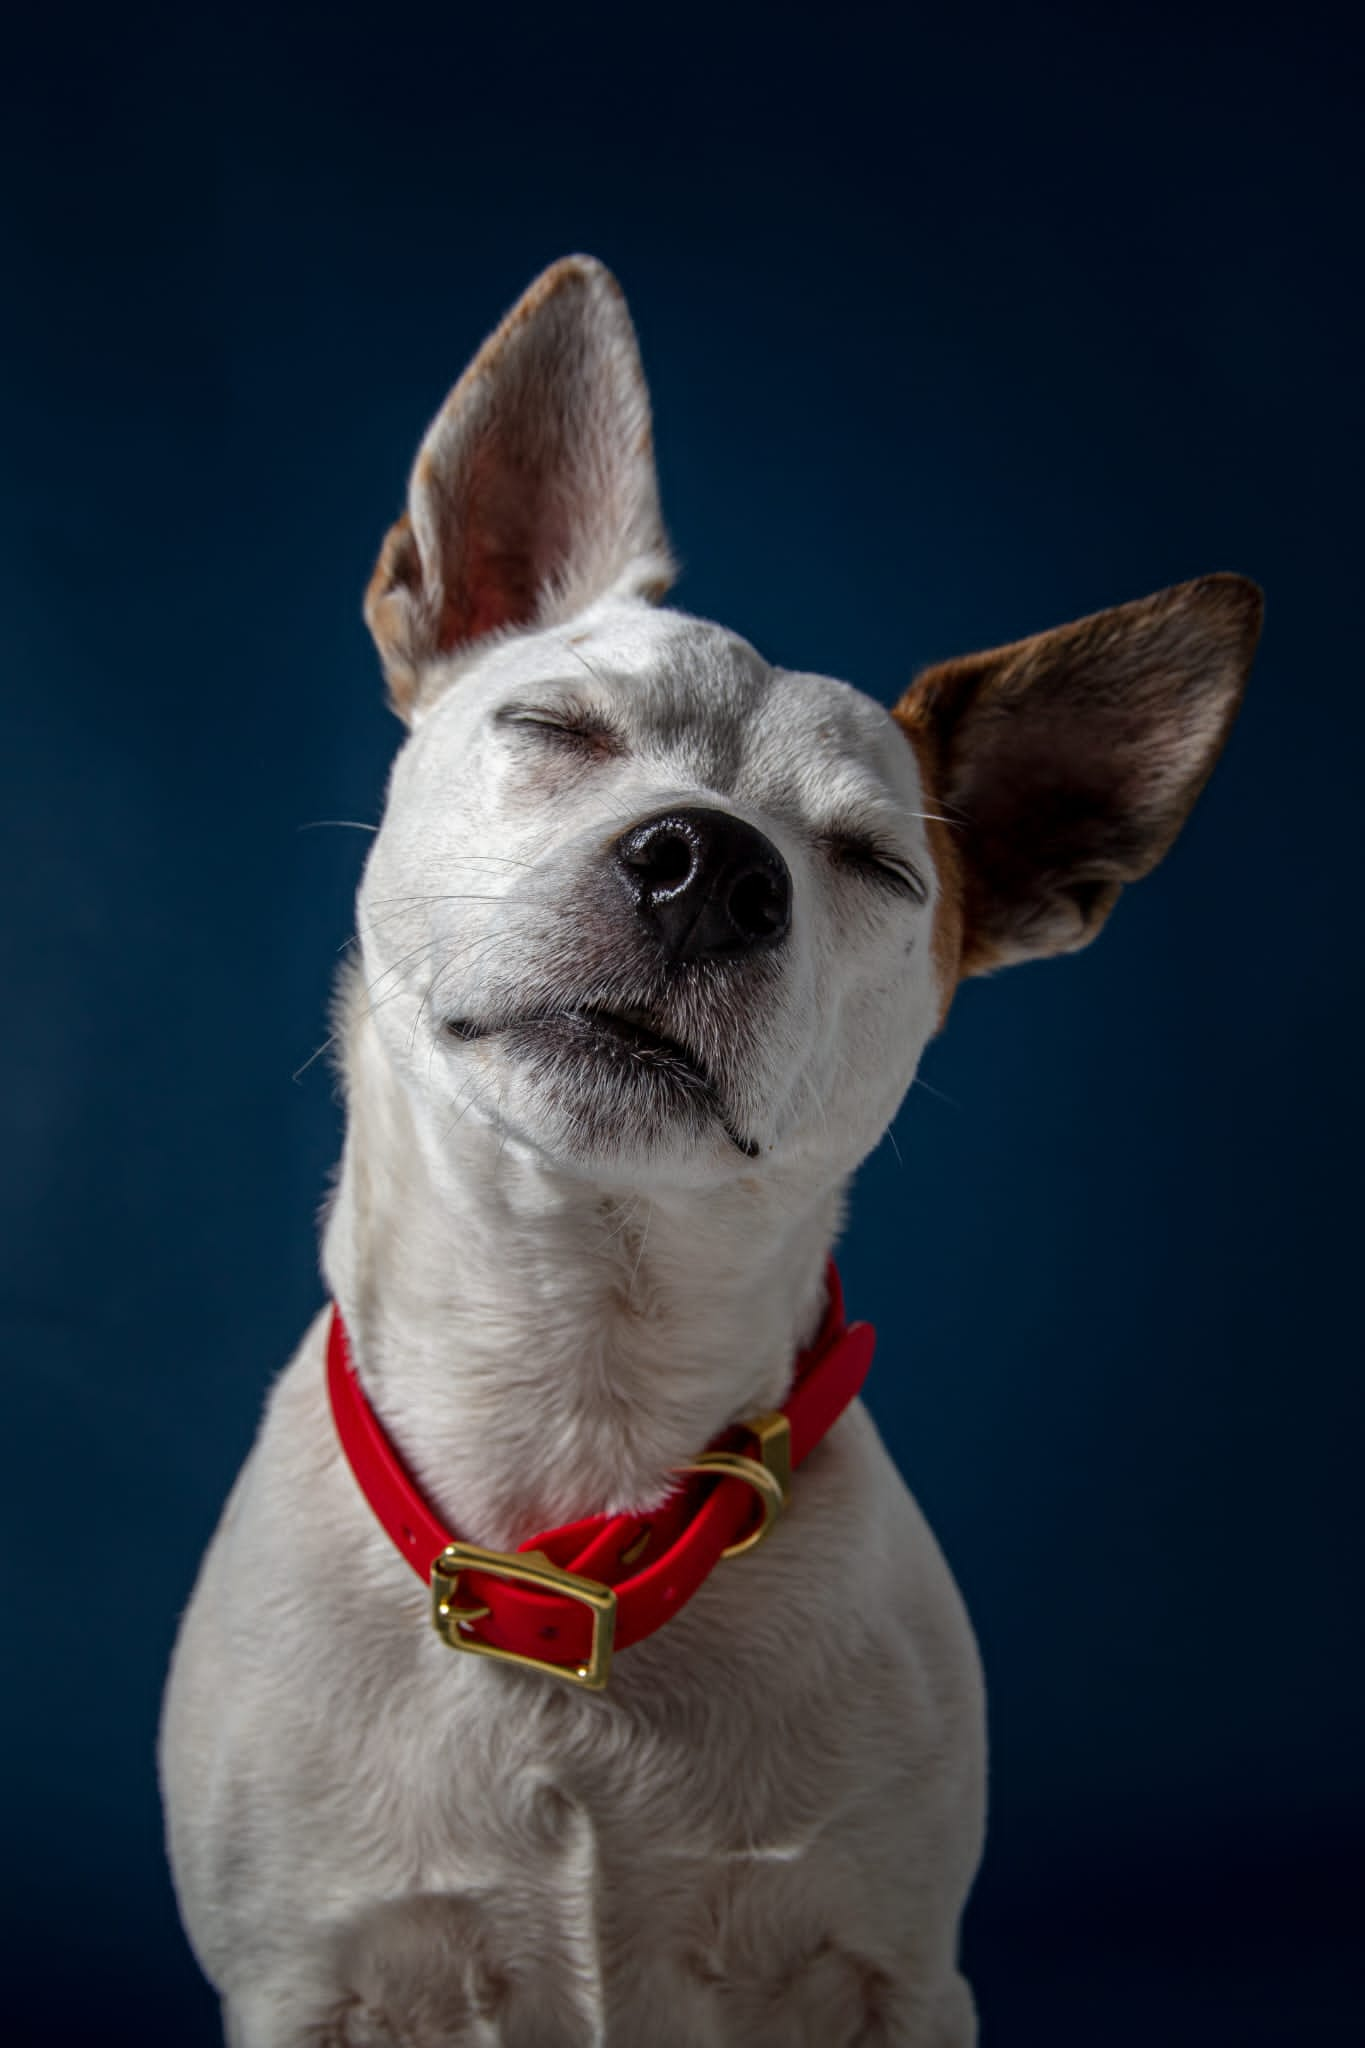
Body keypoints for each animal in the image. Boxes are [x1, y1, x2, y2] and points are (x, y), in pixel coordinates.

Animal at [160, 256, 1260, 2048]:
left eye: (875, 868)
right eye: (556, 726)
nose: (710, 866)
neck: (574, 1404)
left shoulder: (899, 1973)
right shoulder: (303, 1982)